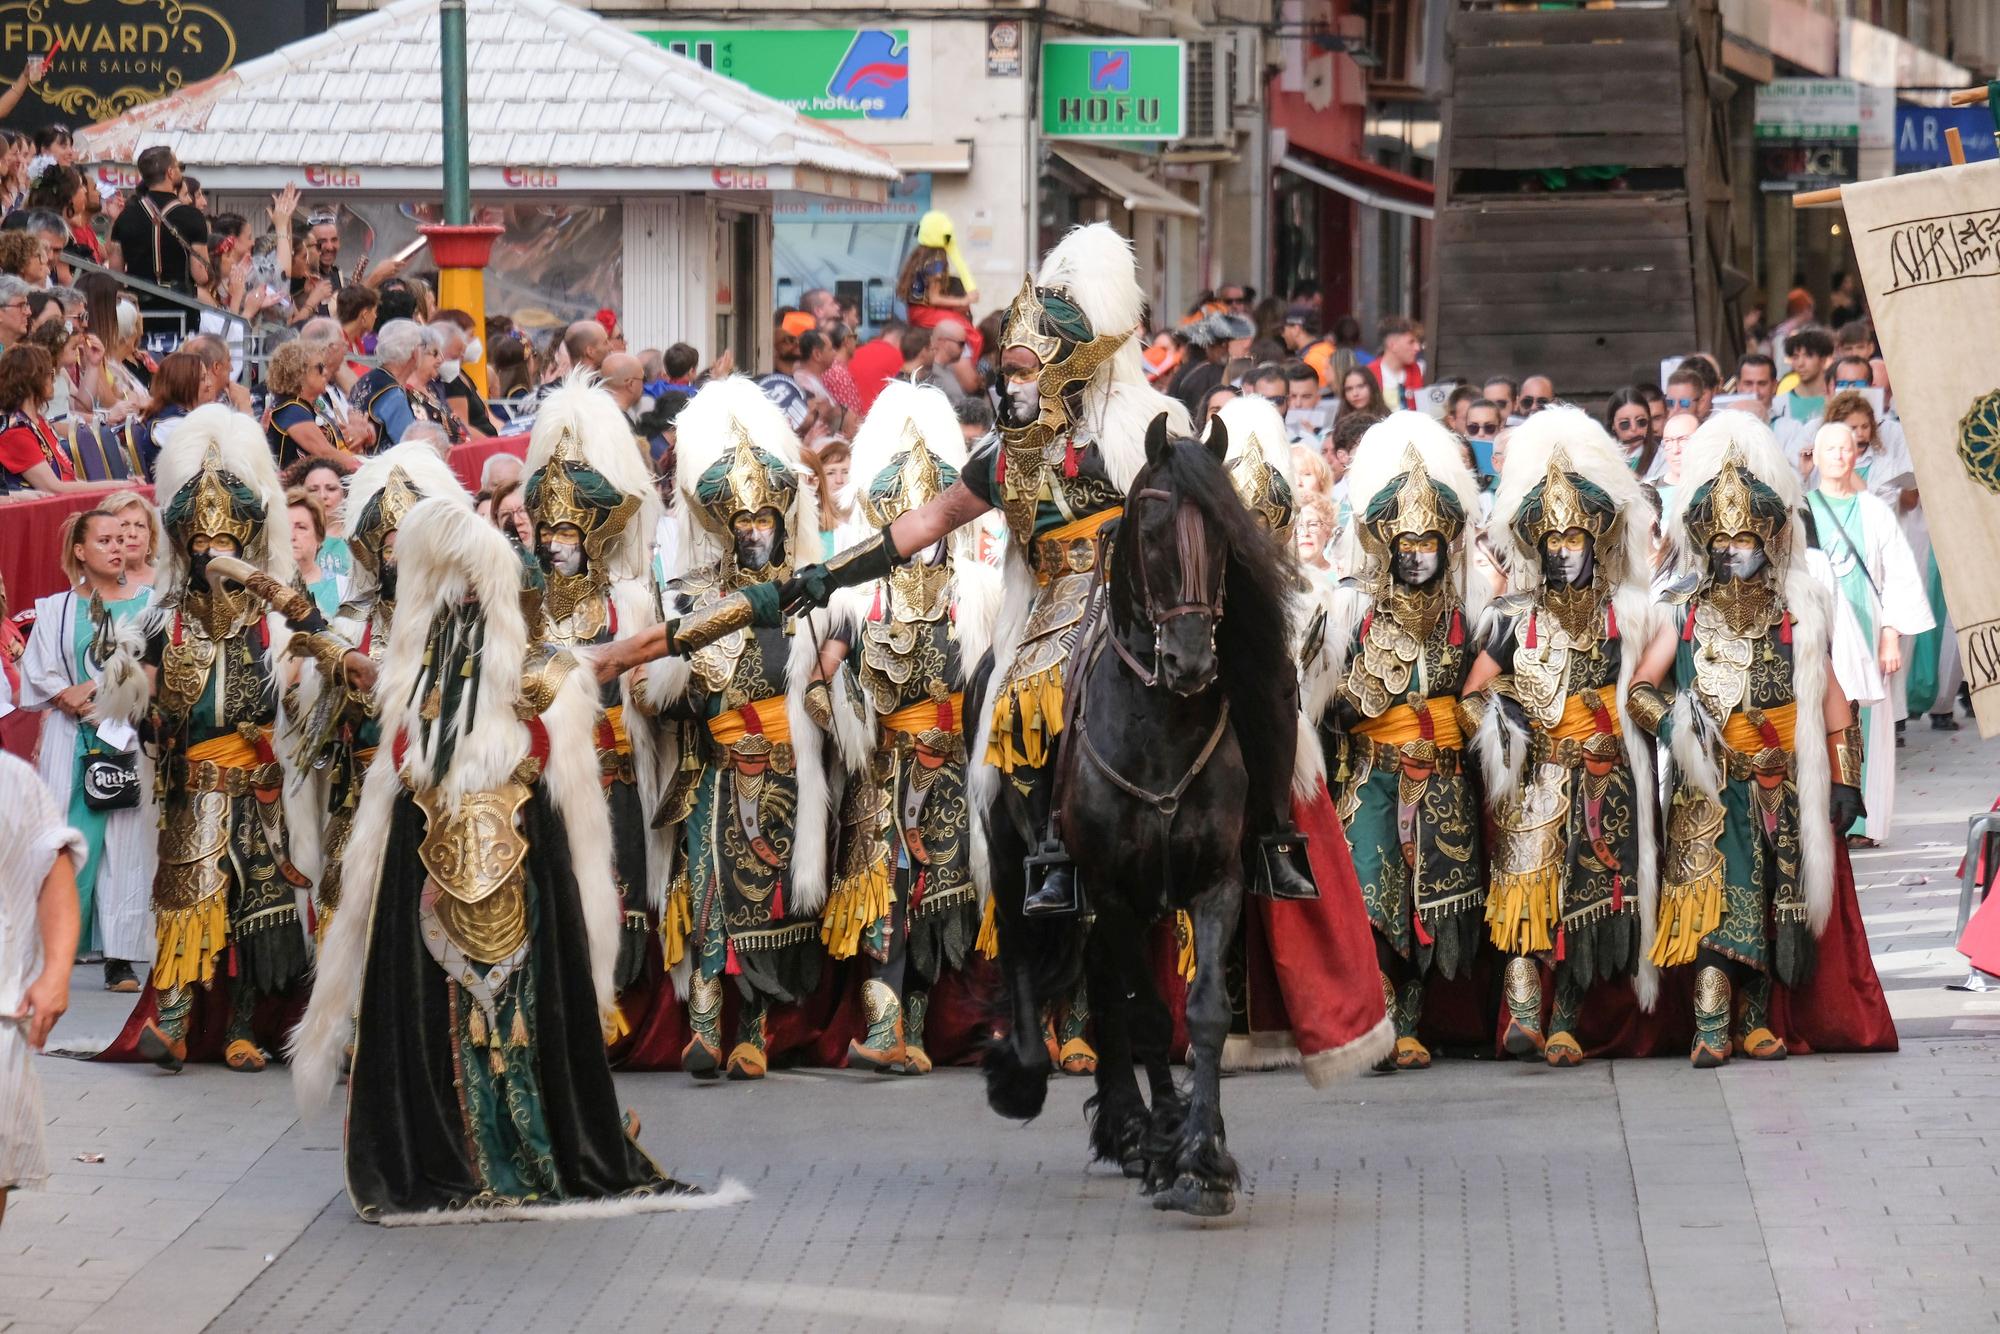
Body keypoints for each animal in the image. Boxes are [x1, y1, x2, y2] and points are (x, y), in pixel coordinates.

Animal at [984, 412, 1296, 1216]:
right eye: (1151, 533)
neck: (1161, 726)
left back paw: (1127, 1123)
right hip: (1011, 853)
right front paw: (1170, 1146)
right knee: (1027, 946)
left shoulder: (1214, 882)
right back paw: (1031, 1079)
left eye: (1223, 537)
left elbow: (1204, 1011)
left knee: (1101, 980)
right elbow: (1152, 1018)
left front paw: (1202, 1153)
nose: (1191, 663)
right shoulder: (1114, 888)